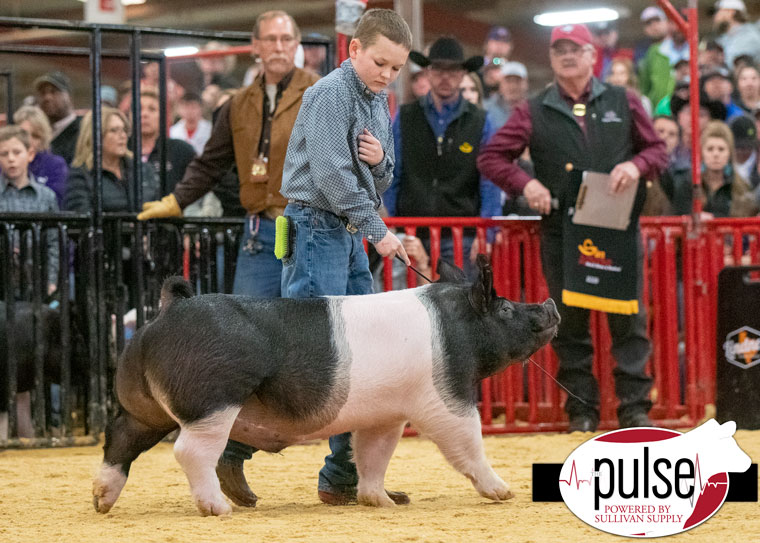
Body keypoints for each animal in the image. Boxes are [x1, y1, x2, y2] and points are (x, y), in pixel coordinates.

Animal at [93, 258, 560, 516]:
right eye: (504, 307)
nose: (551, 304)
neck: (454, 327)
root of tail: (167, 313)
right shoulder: (443, 396)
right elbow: (467, 441)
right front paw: (504, 492)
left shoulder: (386, 413)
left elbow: (372, 455)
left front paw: (383, 501)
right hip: (213, 401)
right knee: (189, 452)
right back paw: (219, 509)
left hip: (144, 407)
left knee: (119, 437)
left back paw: (101, 501)